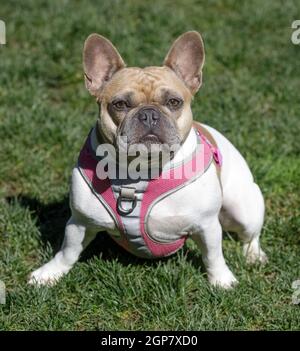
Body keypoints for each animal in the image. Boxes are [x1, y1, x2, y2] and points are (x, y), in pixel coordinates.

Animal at [28, 31, 268, 288]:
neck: (141, 169)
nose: (149, 114)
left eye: (174, 102)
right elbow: (68, 251)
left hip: (242, 209)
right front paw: (50, 273)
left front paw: (221, 280)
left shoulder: (207, 225)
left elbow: (213, 255)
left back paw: (254, 256)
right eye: (120, 104)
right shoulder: (80, 222)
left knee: (250, 235)